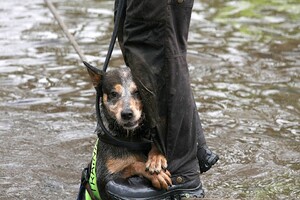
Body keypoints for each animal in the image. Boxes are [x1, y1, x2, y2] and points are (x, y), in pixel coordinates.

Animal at [85, 63, 173, 198]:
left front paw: (156, 159)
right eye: (113, 94)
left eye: (138, 92)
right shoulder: (104, 179)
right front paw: (156, 175)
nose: (127, 114)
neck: (132, 137)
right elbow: (133, 165)